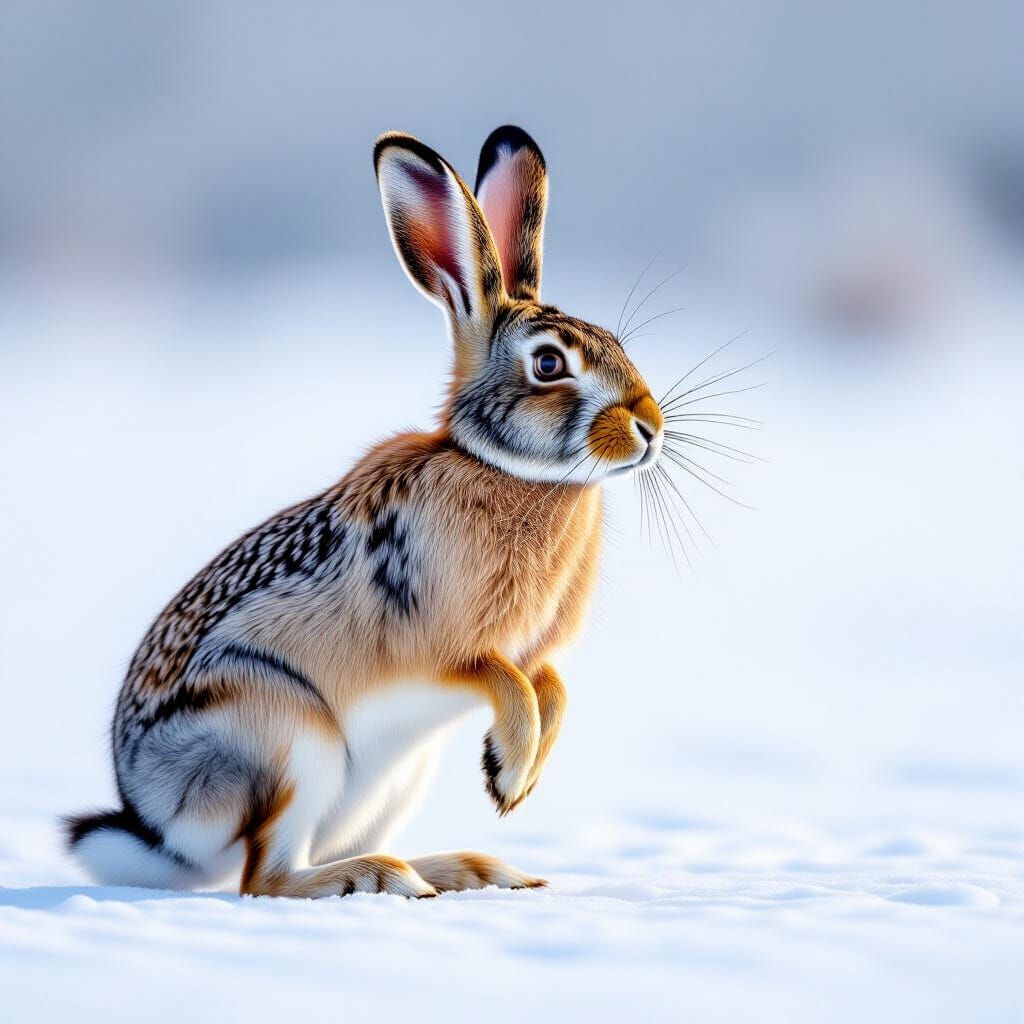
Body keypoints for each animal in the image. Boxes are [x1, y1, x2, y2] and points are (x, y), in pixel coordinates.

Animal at [65, 125, 665, 898]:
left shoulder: (537, 655)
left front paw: (517, 778)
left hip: (396, 779)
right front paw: (507, 775)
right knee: (266, 877)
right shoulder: (441, 649)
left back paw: (471, 869)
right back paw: (388, 878)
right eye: (549, 365)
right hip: (289, 738)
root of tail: (164, 833)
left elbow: (552, 687)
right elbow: (500, 677)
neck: (503, 467)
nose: (650, 427)